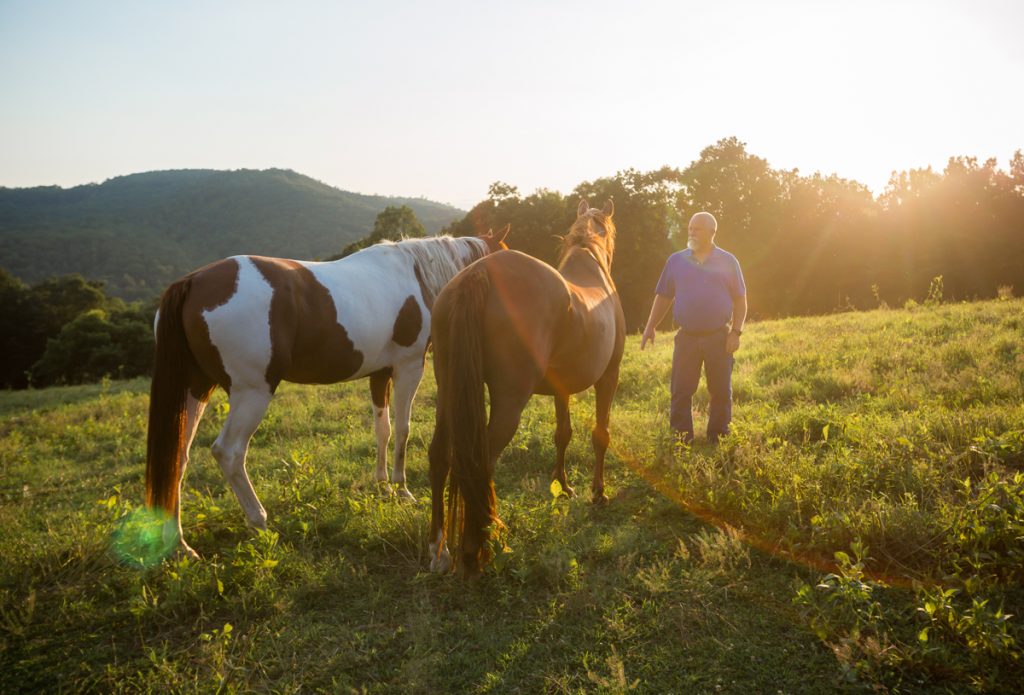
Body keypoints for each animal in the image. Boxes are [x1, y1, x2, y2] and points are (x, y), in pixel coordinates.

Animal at [147, 231, 507, 556]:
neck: (416, 274)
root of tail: (192, 282)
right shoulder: (409, 367)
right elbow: (404, 429)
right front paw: (401, 488)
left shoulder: (380, 373)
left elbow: (383, 429)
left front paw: (382, 484)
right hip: (252, 393)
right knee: (229, 452)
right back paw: (259, 520)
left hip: (195, 390)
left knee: (176, 456)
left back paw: (179, 545)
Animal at [425, 199, 622, 577]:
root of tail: (479, 274)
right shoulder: (609, 377)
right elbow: (600, 435)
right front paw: (598, 492)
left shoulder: (562, 389)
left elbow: (563, 433)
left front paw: (564, 485)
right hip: (508, 403)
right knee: (481, 462)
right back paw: (478, 548)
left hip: (447, 390)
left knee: (439, 454)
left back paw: (439, 550)